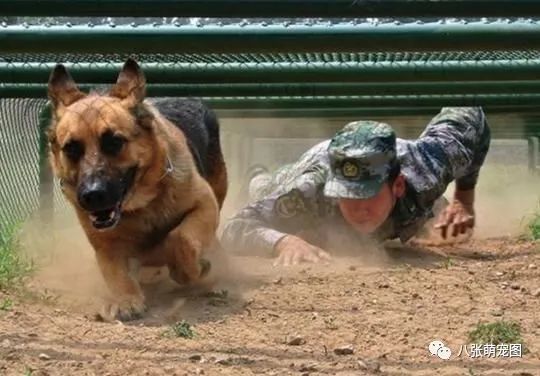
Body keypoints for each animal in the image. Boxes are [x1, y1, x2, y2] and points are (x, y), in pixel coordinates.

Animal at [47, 58, 229, 320]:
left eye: (114, 142)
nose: (92, 195)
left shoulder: (204, 205)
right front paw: (127, 299)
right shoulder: (106, 244)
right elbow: (115, 274)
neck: (140, 207)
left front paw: (189, 270)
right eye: (71, 148)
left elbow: (181, 238)